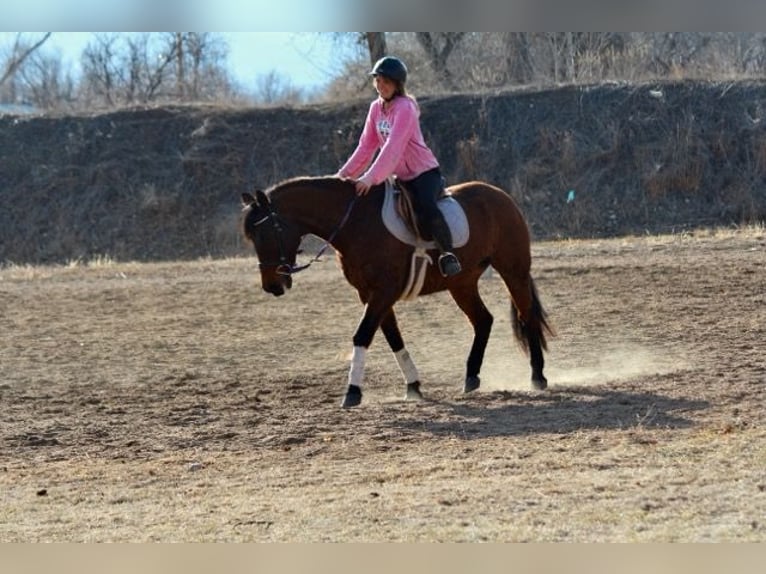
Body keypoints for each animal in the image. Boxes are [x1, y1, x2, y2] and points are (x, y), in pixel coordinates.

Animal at [240, 176, 552, 410]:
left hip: (513, 271)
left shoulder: (383, 292)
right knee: (483, 320)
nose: (272, 285)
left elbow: (363, 335)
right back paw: (471, 377)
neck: (356, 224)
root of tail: (499, 195)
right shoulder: (370, 294)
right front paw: (413, 386)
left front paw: (352, 392)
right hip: (461, 284)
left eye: (265, 233)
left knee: (527, 315)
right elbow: (392, 337)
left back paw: (537, 377)